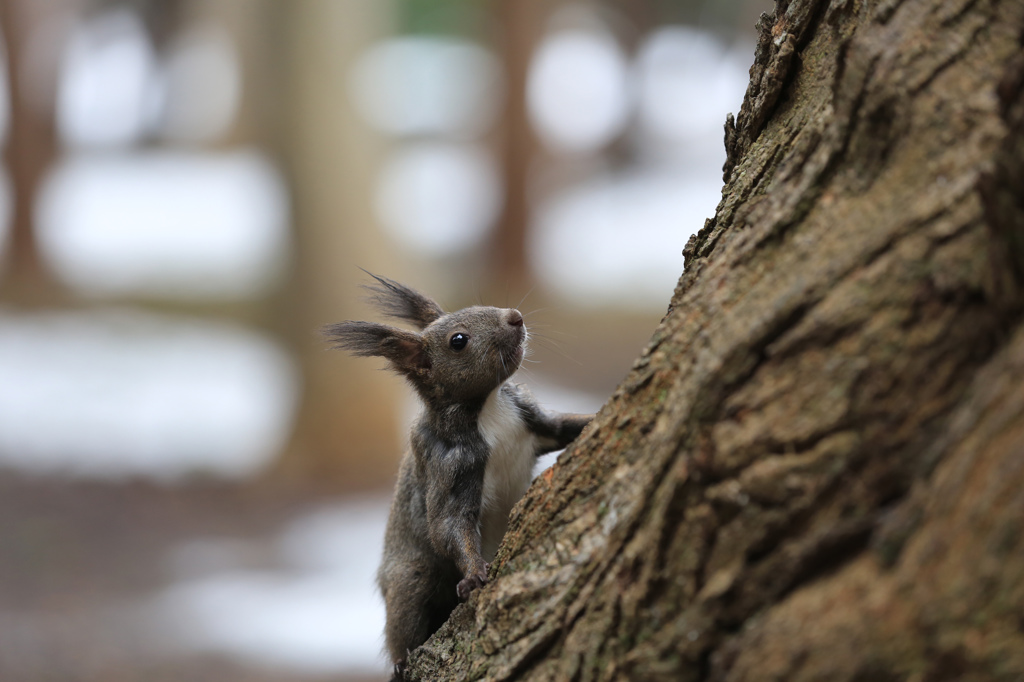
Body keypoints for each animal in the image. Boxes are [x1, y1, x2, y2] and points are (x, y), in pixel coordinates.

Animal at [323, 272, 598, 675]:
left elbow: (566, 426)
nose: (515, 317)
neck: (489, 410)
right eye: (458, 341)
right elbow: (449, 525)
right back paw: (400, 662)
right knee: (405, 623)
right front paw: (474, 575)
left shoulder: (531, 418)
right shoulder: (449, 464)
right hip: (411, 579)